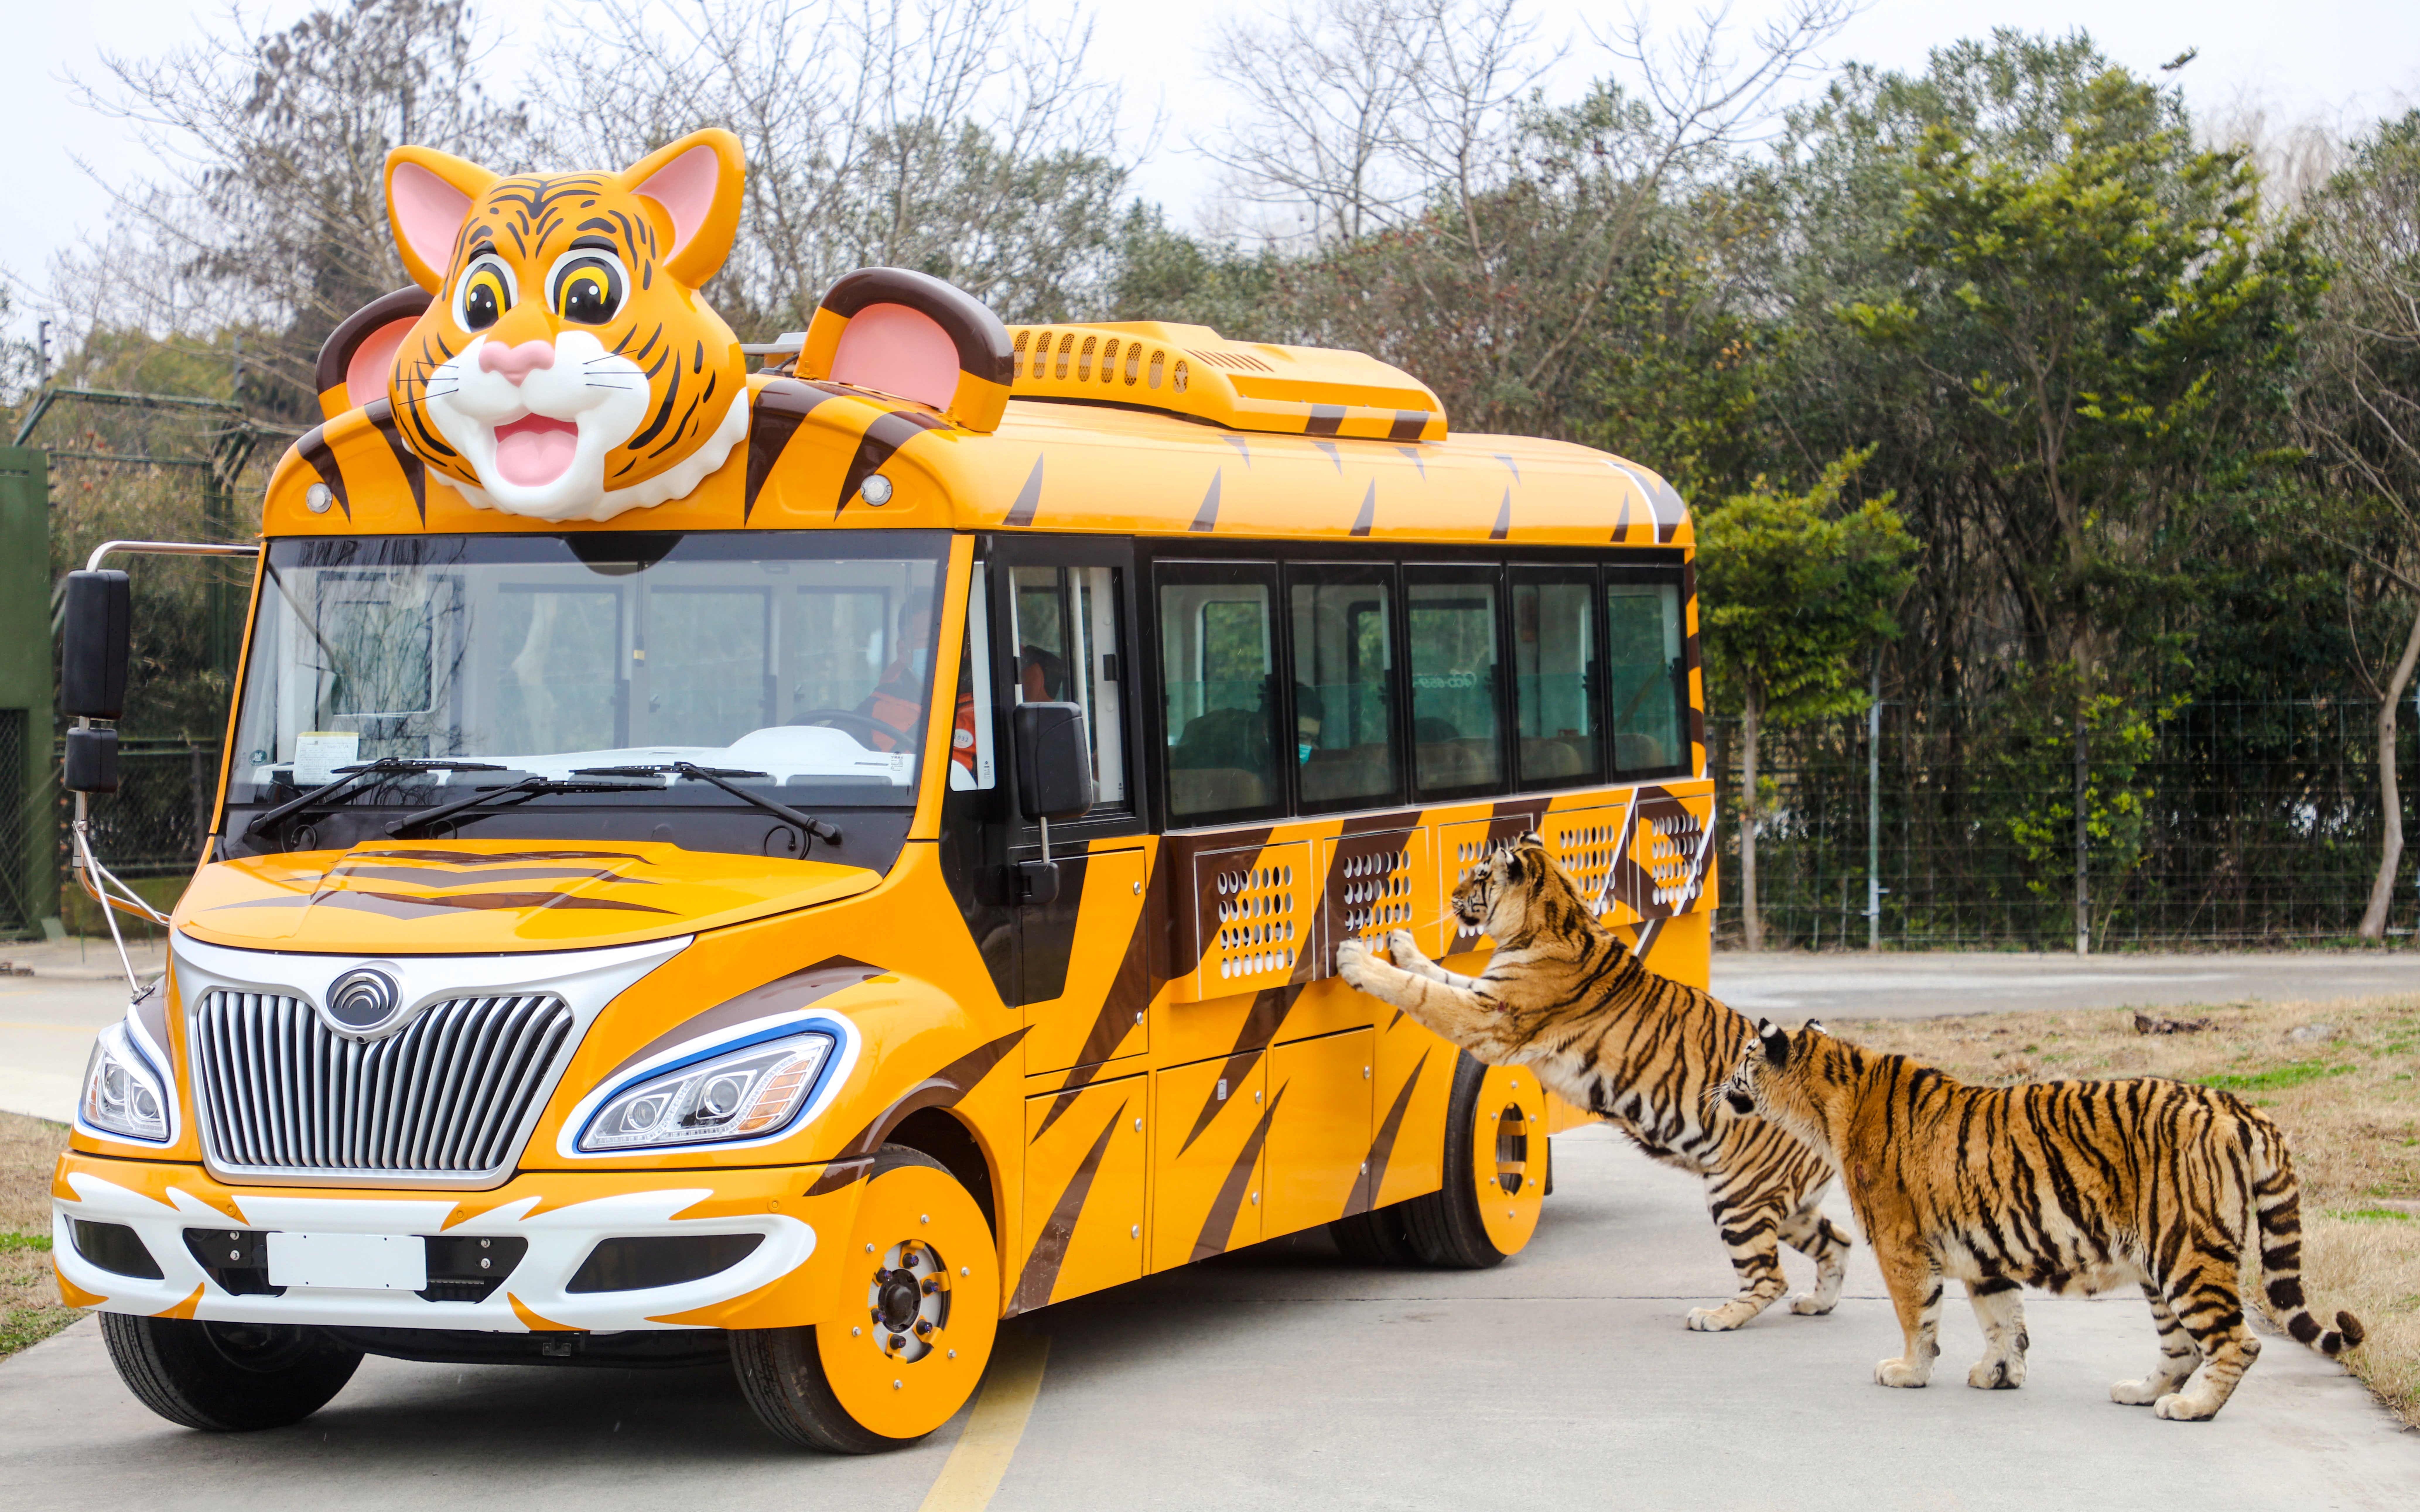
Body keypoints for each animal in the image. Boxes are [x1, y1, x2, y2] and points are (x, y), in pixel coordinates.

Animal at [1335, 832, 1852, 1332]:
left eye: (1480, 875)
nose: (1453, 894)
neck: (1551, 916)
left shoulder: (1489, 1019)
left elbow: (1424, 992)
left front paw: (1357, 961)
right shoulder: (1484, 994)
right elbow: (1440, 974)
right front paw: (1404, 944)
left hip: (1739, 1195)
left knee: (1770, 1278)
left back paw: (1716, 1317)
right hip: (1787, 1205)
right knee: (1839, 1242)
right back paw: (1817, 1304)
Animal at [1714, 1018, 2365, 1421]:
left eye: (1744, 1056)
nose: (1720, 1084)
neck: (1825, 1101)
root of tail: (2234, 1102)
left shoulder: (1901, 1244)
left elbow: (1916, 1316)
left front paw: (1907, 1370)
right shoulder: (1984, 1253)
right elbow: (2004, 1321)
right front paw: (1999, 1374)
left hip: (2186, 1253)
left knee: (2235, 1341)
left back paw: (2191, 1408)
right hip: (2159, 1267)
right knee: (2180, 1346)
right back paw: (2140, 1392)